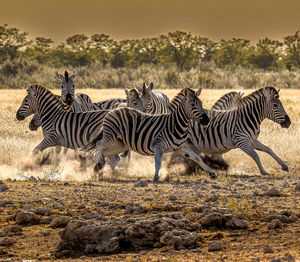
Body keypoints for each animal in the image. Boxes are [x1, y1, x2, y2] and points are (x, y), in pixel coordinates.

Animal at [82, 87, 216, 181]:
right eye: (193, 105)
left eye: (201, 104)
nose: (206, 120)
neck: (175, 124)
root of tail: (115, 109)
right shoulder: (158, 145)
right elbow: (158, 162)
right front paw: (156, 177)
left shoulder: (181, 147)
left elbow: (197, 157)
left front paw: (212, 173)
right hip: (110, 135)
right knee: (99, 144)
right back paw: (99, 162)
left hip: (121, 144)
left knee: (107, 152)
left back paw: (99, 166)